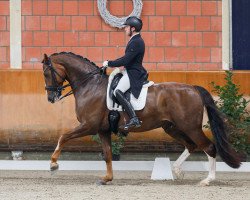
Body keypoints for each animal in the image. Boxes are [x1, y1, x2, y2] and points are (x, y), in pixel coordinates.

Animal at [42, 52, 244, 186]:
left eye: (45, 73)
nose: (51, 98)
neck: (90, 85)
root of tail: (193, 88)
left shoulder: (88, 126)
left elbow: (63, 137)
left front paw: (53, 164)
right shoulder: (102, 130)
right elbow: (108, 154)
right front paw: (107, 178)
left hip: (190, 127)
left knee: (208, 147)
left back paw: (207, 179)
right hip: (172, 127)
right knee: (191, 145)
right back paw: (177, 171)